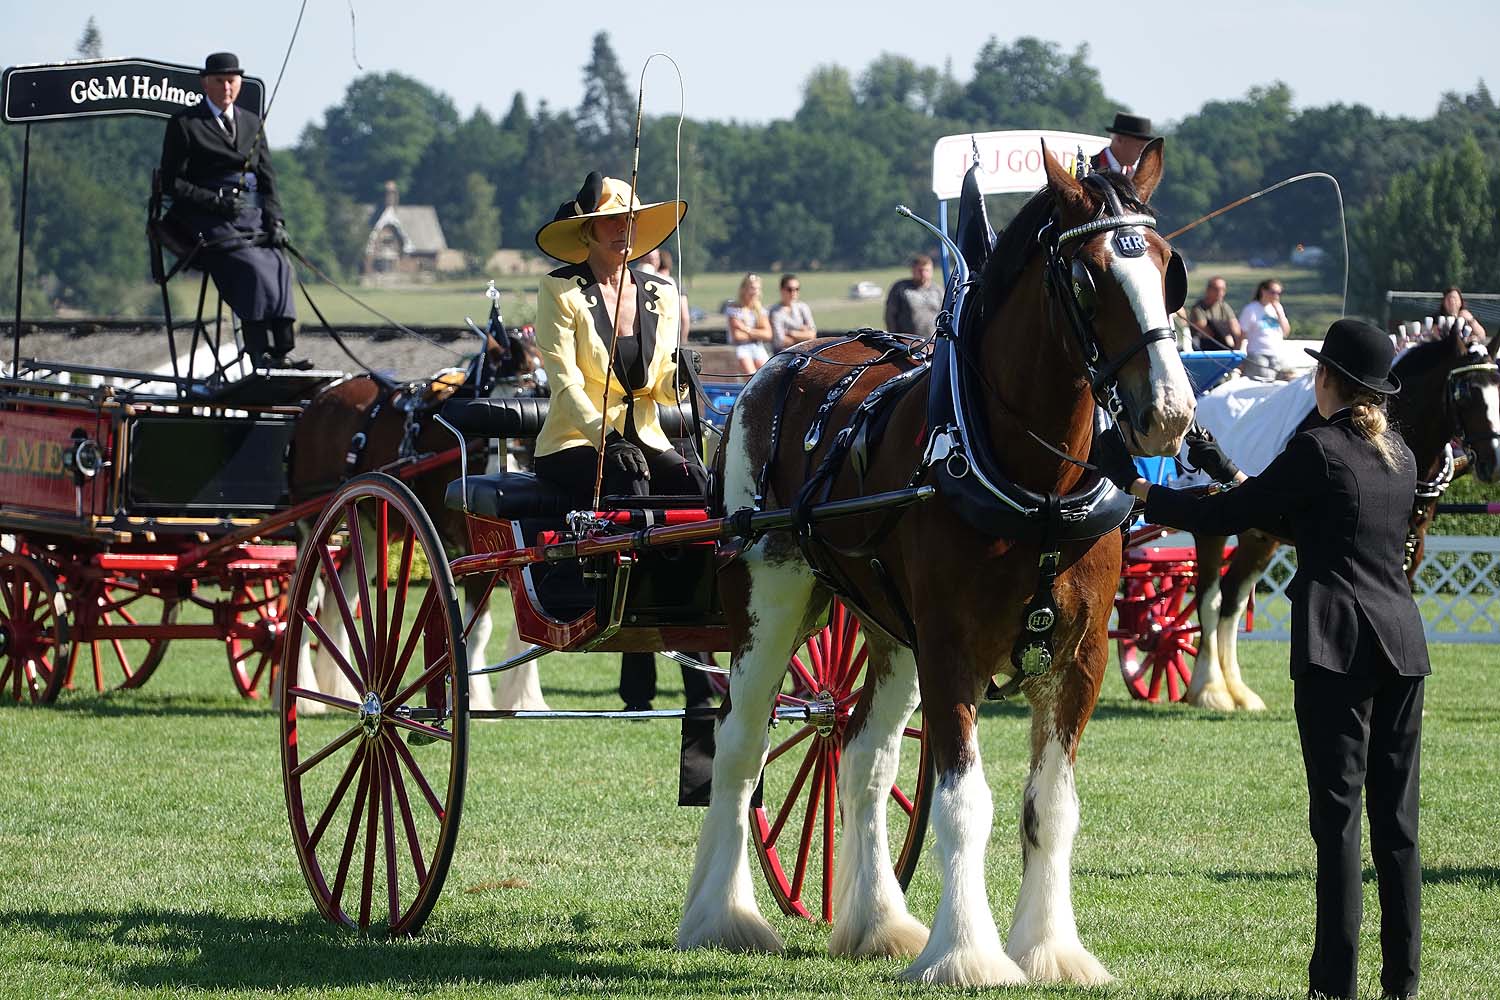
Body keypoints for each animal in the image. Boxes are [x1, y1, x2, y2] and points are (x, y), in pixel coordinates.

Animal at [681, 146, 1194, 983]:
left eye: (1164, 266)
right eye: (1089, 279)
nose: (1170, 413)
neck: (1035, 486)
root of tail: (771, 371)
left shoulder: (1078, 659)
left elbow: (1051, 807)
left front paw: (1050, 949)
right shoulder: (954, 652)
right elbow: (964, 804)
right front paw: (967, 955)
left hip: (890, 632)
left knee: (861, 754)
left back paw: (878, 922)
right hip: (770, 601)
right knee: (741, 748)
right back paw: (723, 916)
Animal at [1182, 334, 1500, 710]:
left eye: (1499, 386)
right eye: (1466, 393)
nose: (1494, 462)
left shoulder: (1411, 546)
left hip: (1258, 536)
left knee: (1232, 598)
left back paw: (1238, 692)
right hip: (1210, 532)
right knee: (1210, 598)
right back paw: (1209, 689)